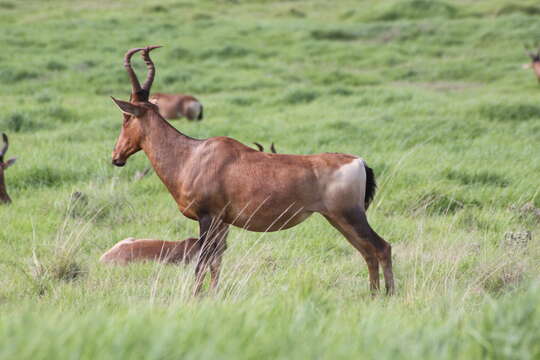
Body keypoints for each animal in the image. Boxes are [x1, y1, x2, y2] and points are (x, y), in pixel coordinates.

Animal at [110, 46, 396, 296]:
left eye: (126, 117)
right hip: (338, 219)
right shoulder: (222, 221)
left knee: (382, 247)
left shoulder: (207, 217)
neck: (193, 154)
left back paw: (389, 294)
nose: (116, 157)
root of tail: (359, 162)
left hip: (350, 216)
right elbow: (216, 261)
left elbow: (202, 262)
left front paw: (194, 297)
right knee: (367, 252)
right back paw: (372, 294)